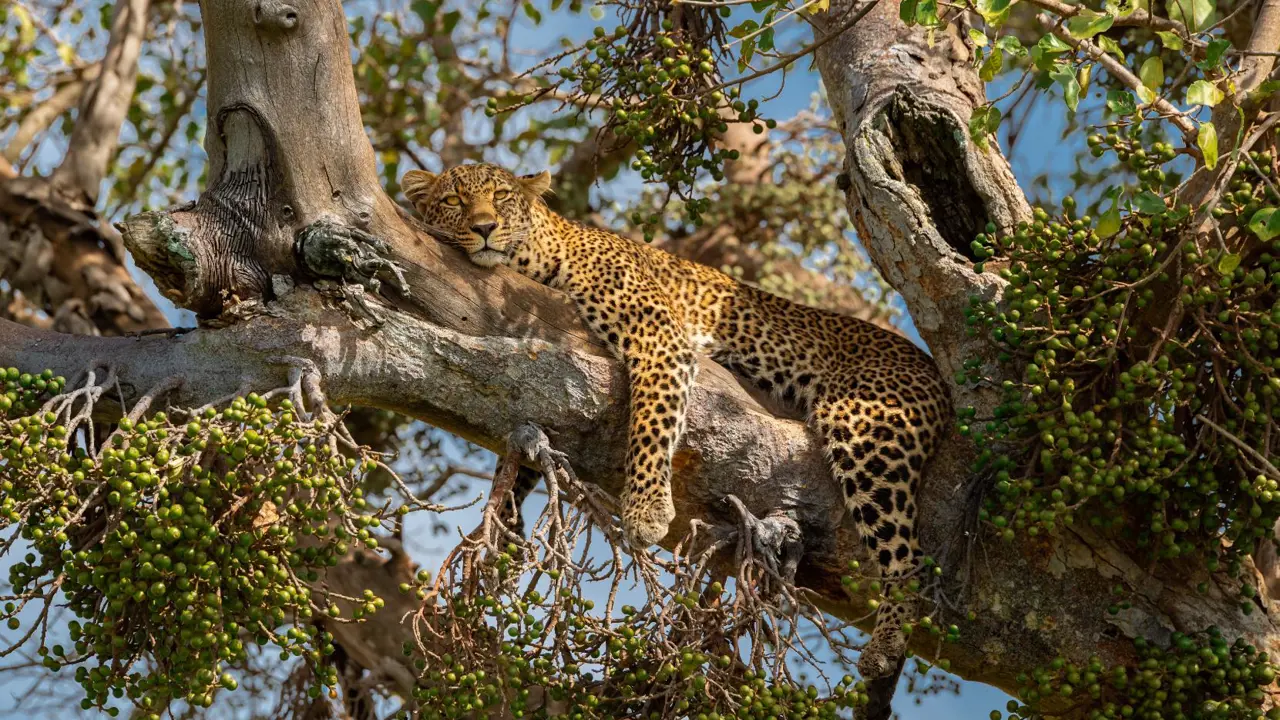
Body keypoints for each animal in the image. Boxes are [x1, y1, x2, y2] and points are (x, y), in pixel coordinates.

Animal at [399, 161, 952, 691]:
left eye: (501, 197)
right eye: (454, 200)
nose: (484, 227)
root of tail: (932, 369)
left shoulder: (657, 333)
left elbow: (651, 420)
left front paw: (646, 510)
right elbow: (523, 459)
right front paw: (505, 534)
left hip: (866, 427)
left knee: (912, 562)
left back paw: (885, 644)